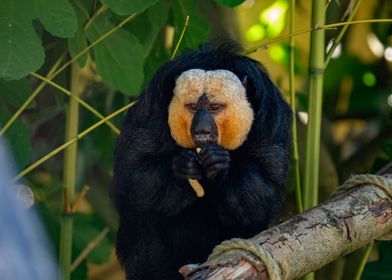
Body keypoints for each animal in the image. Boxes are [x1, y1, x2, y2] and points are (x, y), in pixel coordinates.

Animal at [110, 42, 290, 280]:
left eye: (214, 107)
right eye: (194, 107)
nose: (202, 128)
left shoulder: (269, 120)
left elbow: (263, 196)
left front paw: (221, 166)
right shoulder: (151, 111)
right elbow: (133, 178)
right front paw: (182, 169)